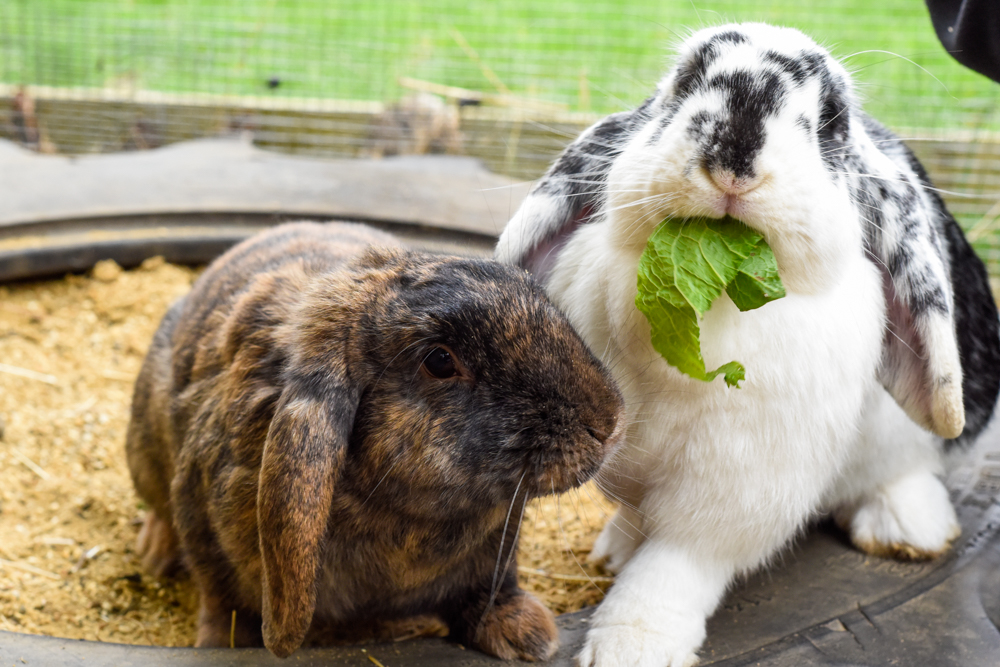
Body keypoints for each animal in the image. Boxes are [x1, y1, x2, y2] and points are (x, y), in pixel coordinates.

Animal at [125, 220, 625, 661]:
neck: (403, 513)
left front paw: (528, 636)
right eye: (439, 361)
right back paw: (153, 554)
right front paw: (219, 644)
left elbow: (492, 588)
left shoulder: (497, 548)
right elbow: (224, 604)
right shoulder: (202, 522)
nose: (609, 422)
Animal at [495, 23, 1000, 667]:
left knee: (903, 470)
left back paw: (907, 530)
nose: (734, 155)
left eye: (832, 118)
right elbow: (639, 526)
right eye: (685, 82)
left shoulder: (734, 489)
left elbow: (673, 568)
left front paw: (629, 648)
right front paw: (617, 561)